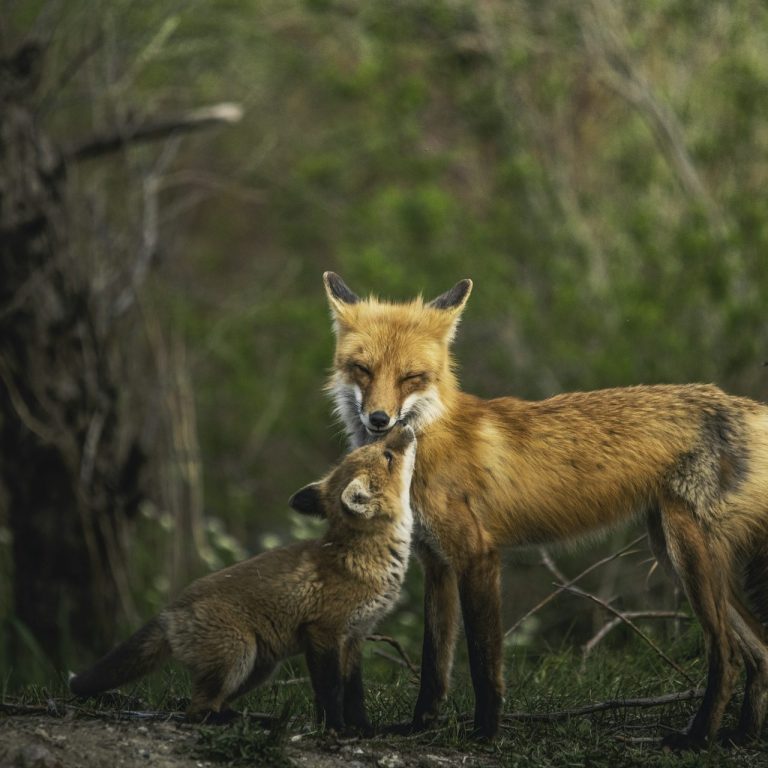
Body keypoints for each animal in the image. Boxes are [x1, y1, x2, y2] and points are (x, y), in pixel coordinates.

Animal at [70, 424, 420, 736]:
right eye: (388, 455)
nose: (402, 424)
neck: (363, 559)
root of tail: (169, 612)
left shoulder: (356, 637)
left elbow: (354, 693)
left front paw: (363, 729)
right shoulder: (323, 633)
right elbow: (330, 692)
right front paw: (335, 729)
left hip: (259, 669)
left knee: (208, 702)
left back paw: (255, 720)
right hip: (239, 655)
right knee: (195, 710)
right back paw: (231, 722)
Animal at [320, 272, 768, 748]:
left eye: (411, 377)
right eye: (363, 369)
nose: (379, 420)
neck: (427, 443)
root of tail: (750, 407)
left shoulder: (477, 555)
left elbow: (483, 660)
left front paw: (485, 733)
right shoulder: (436, 562)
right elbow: (434, 664)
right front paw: (420, 726)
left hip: (688, 554)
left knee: (729, 655)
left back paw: (695, 739)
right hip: (674, 553)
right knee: (760, 650)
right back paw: (743, 736)